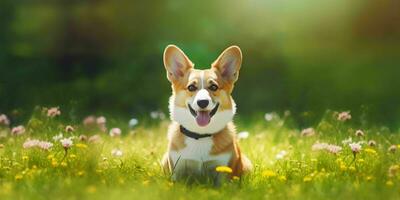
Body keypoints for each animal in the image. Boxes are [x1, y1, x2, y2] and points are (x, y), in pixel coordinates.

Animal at [162, 44, 252, 182]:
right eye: (191, 87)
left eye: (214, 87)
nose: (203, 102)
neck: (200, 135)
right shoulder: (178, 170)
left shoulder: (222, 171)